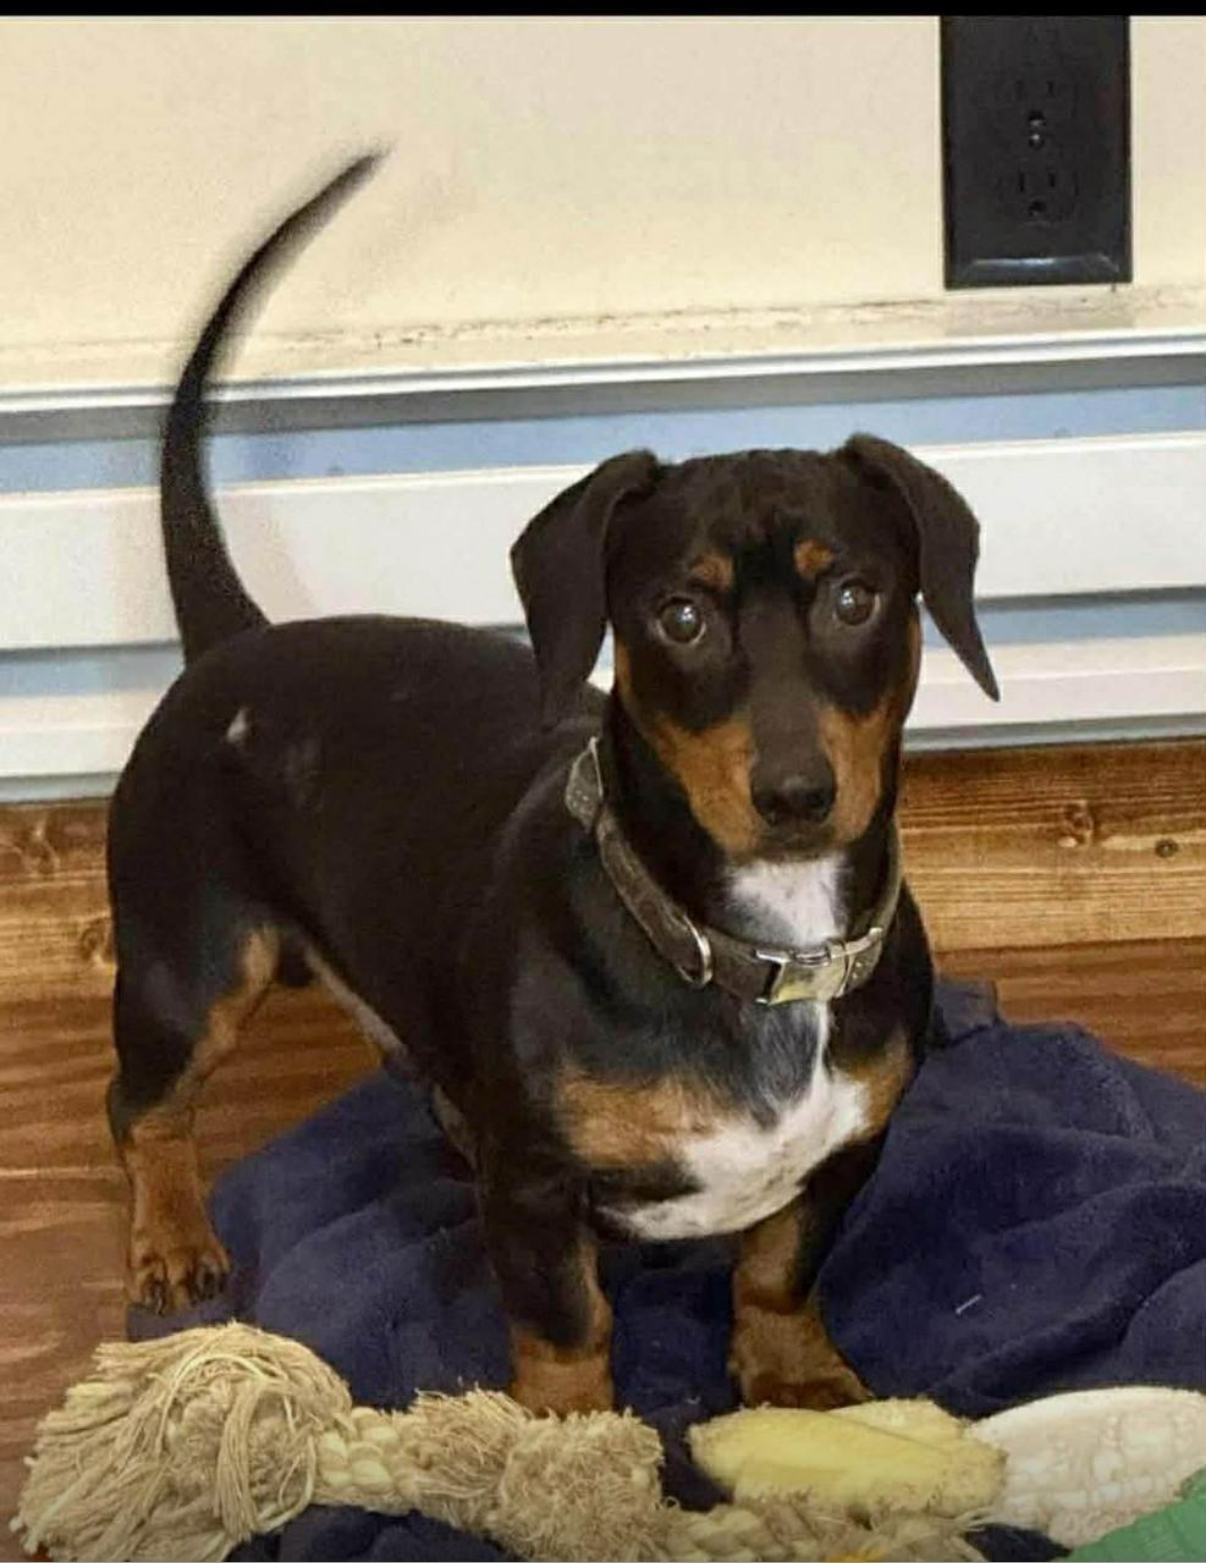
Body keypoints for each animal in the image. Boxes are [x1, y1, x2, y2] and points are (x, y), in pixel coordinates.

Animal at [106, 156, 999, 1417]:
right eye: (679, 614)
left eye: (855, 597)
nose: (795, 795)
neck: (751, 945)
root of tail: (236, 644)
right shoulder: (531, 1191)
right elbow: (568, 1320)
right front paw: (572, 1436)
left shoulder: (847, 1154)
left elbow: (779, 1266)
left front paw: (796, 1378)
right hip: (189, 969)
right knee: (145, 1111)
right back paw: (173, 1239)